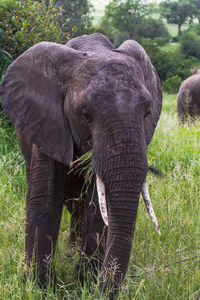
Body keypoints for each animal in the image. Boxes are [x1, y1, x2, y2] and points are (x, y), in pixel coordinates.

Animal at [0, 33, 162, 300]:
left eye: (147, 112)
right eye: (85, 114)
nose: (99, 293)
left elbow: (96, 204)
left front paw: (84, 282)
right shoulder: (47, 120)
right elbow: (44, 198)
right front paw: (39, 289)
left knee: (77, 206)